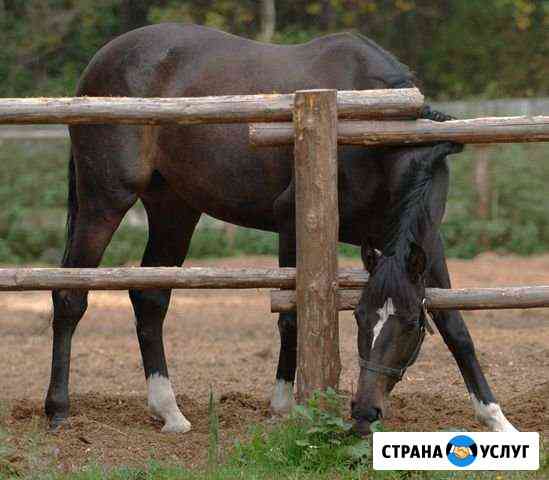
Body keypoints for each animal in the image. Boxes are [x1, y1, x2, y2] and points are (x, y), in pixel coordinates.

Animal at [45, 23, 516, 436]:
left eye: (410, 324)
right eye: (361, 317)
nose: (364, 413)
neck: (369, 131)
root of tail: (102, 59)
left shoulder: (424, 242)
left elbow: (455, 325)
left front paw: (496, 418)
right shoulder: (294, 223)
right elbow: (291, 315)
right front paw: (283, 407)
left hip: (173, 210)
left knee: (150, 299)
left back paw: (170, 412)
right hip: (104, 201)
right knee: (70, 296)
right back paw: (58, 410)